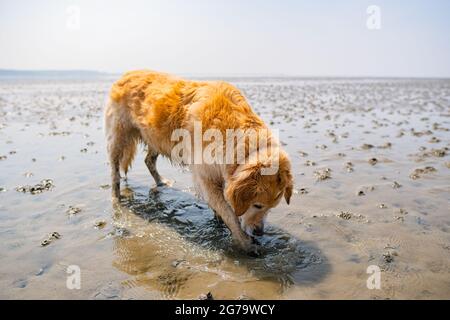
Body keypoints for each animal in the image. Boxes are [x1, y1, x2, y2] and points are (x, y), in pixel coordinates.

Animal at [105, 70, 296, 252]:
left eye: (271, 207)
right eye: (257, 205)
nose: (259, 232)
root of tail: (127, 73)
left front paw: (220, 220)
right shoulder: (205, 178)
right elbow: (229, 213)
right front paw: (244, 242)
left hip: (155, 137)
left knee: (148, 160)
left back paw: (160, 182)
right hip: (119, 135)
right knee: (114, 170)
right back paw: (115, 197)